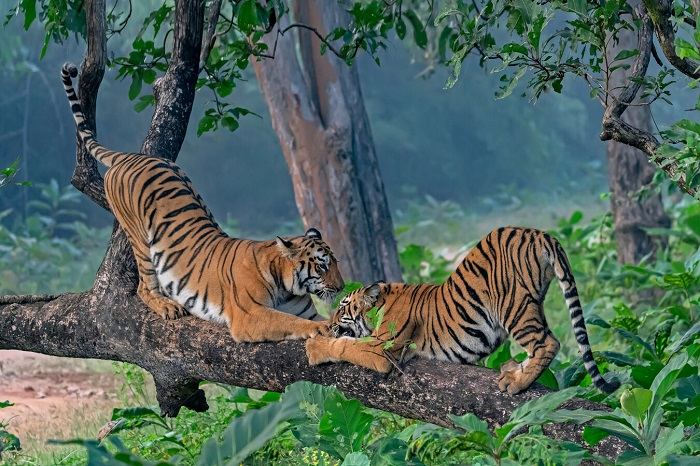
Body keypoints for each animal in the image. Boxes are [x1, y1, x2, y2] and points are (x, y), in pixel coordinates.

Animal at [61, 62, 344, 340]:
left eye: (335, 263)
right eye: (322, 266)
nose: (341, 287)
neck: (285, 283)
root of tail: (132, 156)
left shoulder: (304, 310)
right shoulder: (249, 315)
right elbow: (290, 321)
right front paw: (321, 329)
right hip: (139, 238)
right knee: (144, 286)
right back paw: (167, 306)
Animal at [306, 228, 616, 396]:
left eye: (343, 307)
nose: (330, 321)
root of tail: (537, 233)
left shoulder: (382, 348)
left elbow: (346, 344)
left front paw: (316, 346)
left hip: (512, 306)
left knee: (548, 342)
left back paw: (516, 383)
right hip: (532, 304)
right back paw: (513, 369)